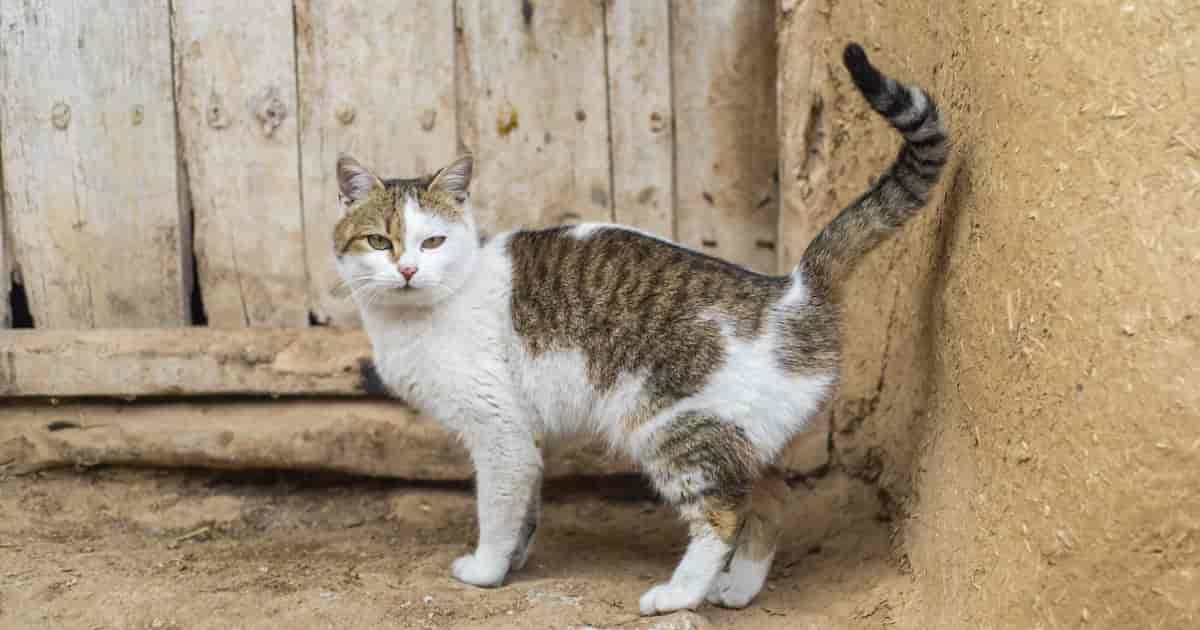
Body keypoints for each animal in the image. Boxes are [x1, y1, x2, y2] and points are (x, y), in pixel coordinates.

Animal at [328, 44, 945, 614]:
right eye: (378, 242)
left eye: (433, 241)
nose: (408, 270)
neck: (424, 312)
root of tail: (790, 292)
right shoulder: (526, 436)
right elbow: (527, 507)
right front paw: (517, 560)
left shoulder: (499, 432)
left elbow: (499, 509)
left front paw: (485, 569)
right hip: (741, 436)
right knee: (771, 501)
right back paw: (737, 589)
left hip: (671, 427)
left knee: (722, 515)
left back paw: (679, 595)